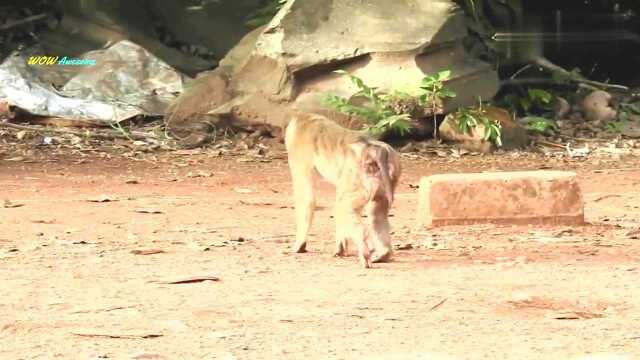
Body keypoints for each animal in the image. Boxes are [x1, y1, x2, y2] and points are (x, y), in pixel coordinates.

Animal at [284, 112, 400, 268]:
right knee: (376, 214)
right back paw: (383, 254)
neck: (308, 121)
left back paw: (364, 249)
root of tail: (377, 150)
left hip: (361, 179)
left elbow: (307, 199)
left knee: (342, 208)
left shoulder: (299, 154)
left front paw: (299, 245)